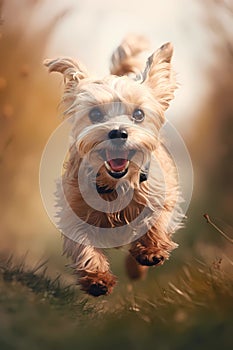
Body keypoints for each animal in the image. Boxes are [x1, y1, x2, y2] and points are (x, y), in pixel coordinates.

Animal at [44, 35, 184, 296]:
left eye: (138, 114)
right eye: (96, 115)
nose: (118, 133)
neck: (115, 184)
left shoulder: (162, 192)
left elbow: (156, 219)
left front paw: (150, 251)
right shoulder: (73, 210)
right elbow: (83, 243)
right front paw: (97, 278)